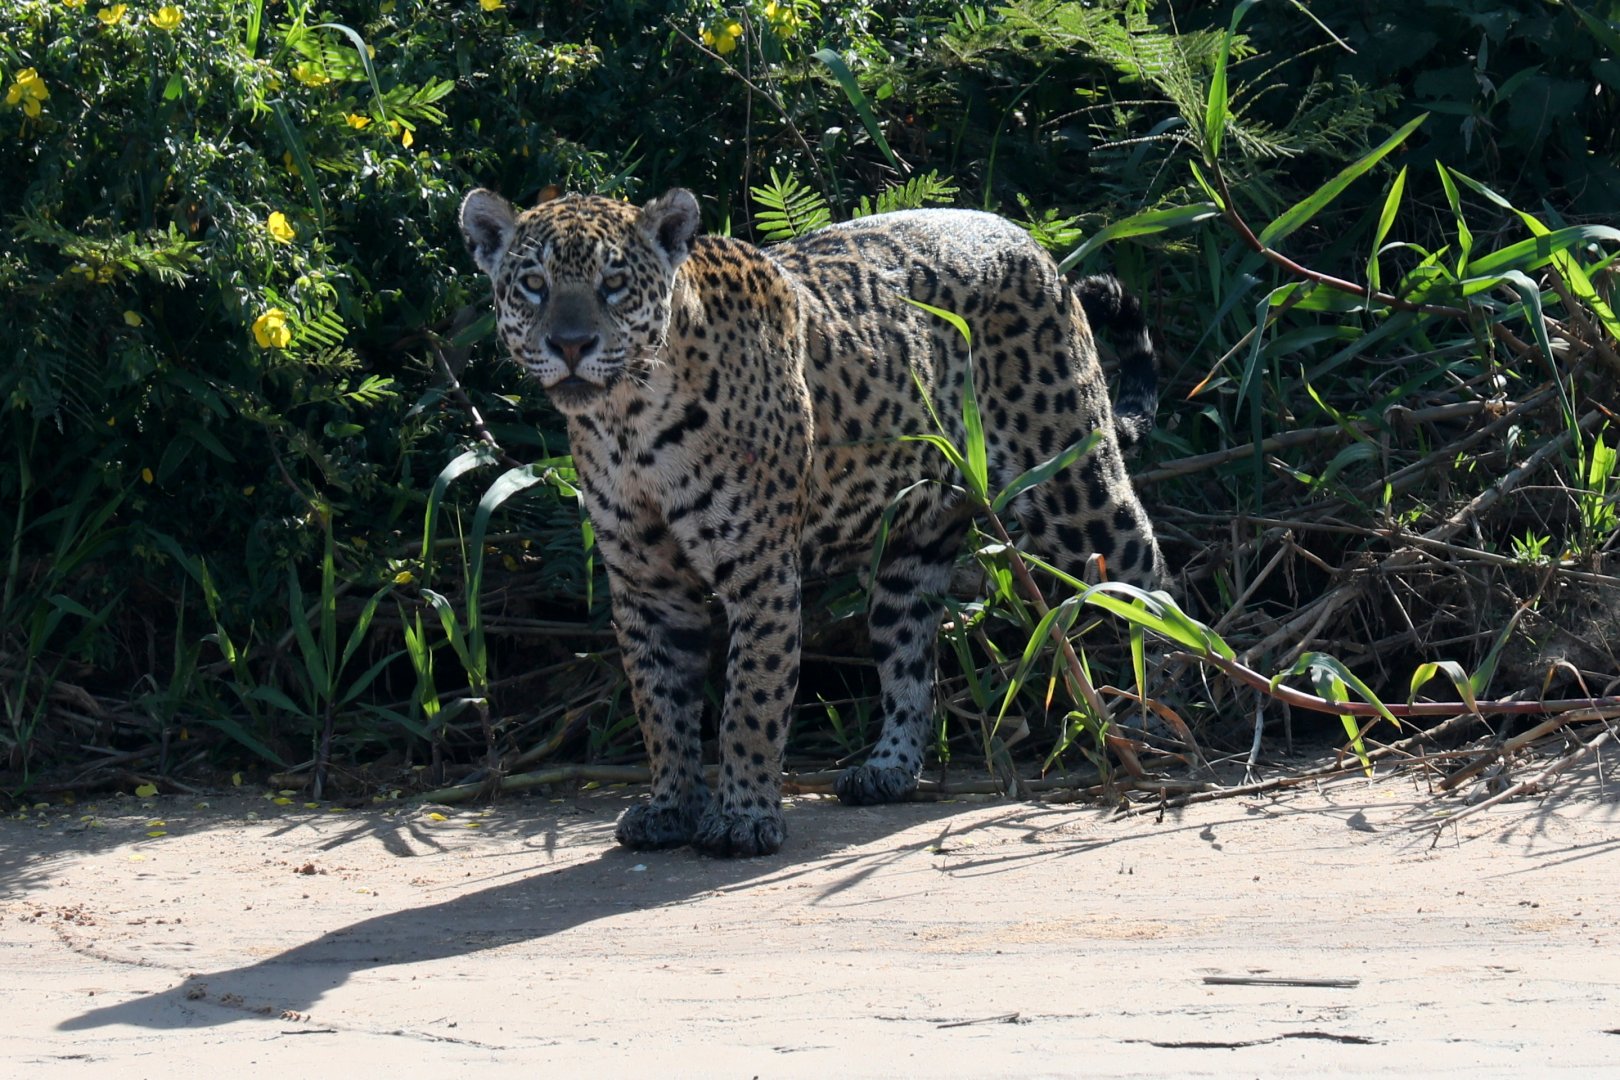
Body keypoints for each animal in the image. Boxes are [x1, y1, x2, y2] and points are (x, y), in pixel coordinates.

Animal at [460, 186, 1165, 858]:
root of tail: (1036, 246)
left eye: (613, 283)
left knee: (1143, 581)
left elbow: (751, 701)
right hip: (913, 546)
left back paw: (1163, 714)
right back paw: (888, 769)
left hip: (1074, 489)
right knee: (910, 660)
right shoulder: (646, 583)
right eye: (533, 284)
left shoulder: (760, 568)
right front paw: (669, 808)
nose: (570, 345)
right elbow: (659, 701)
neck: (627, 419)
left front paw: (743, 819)